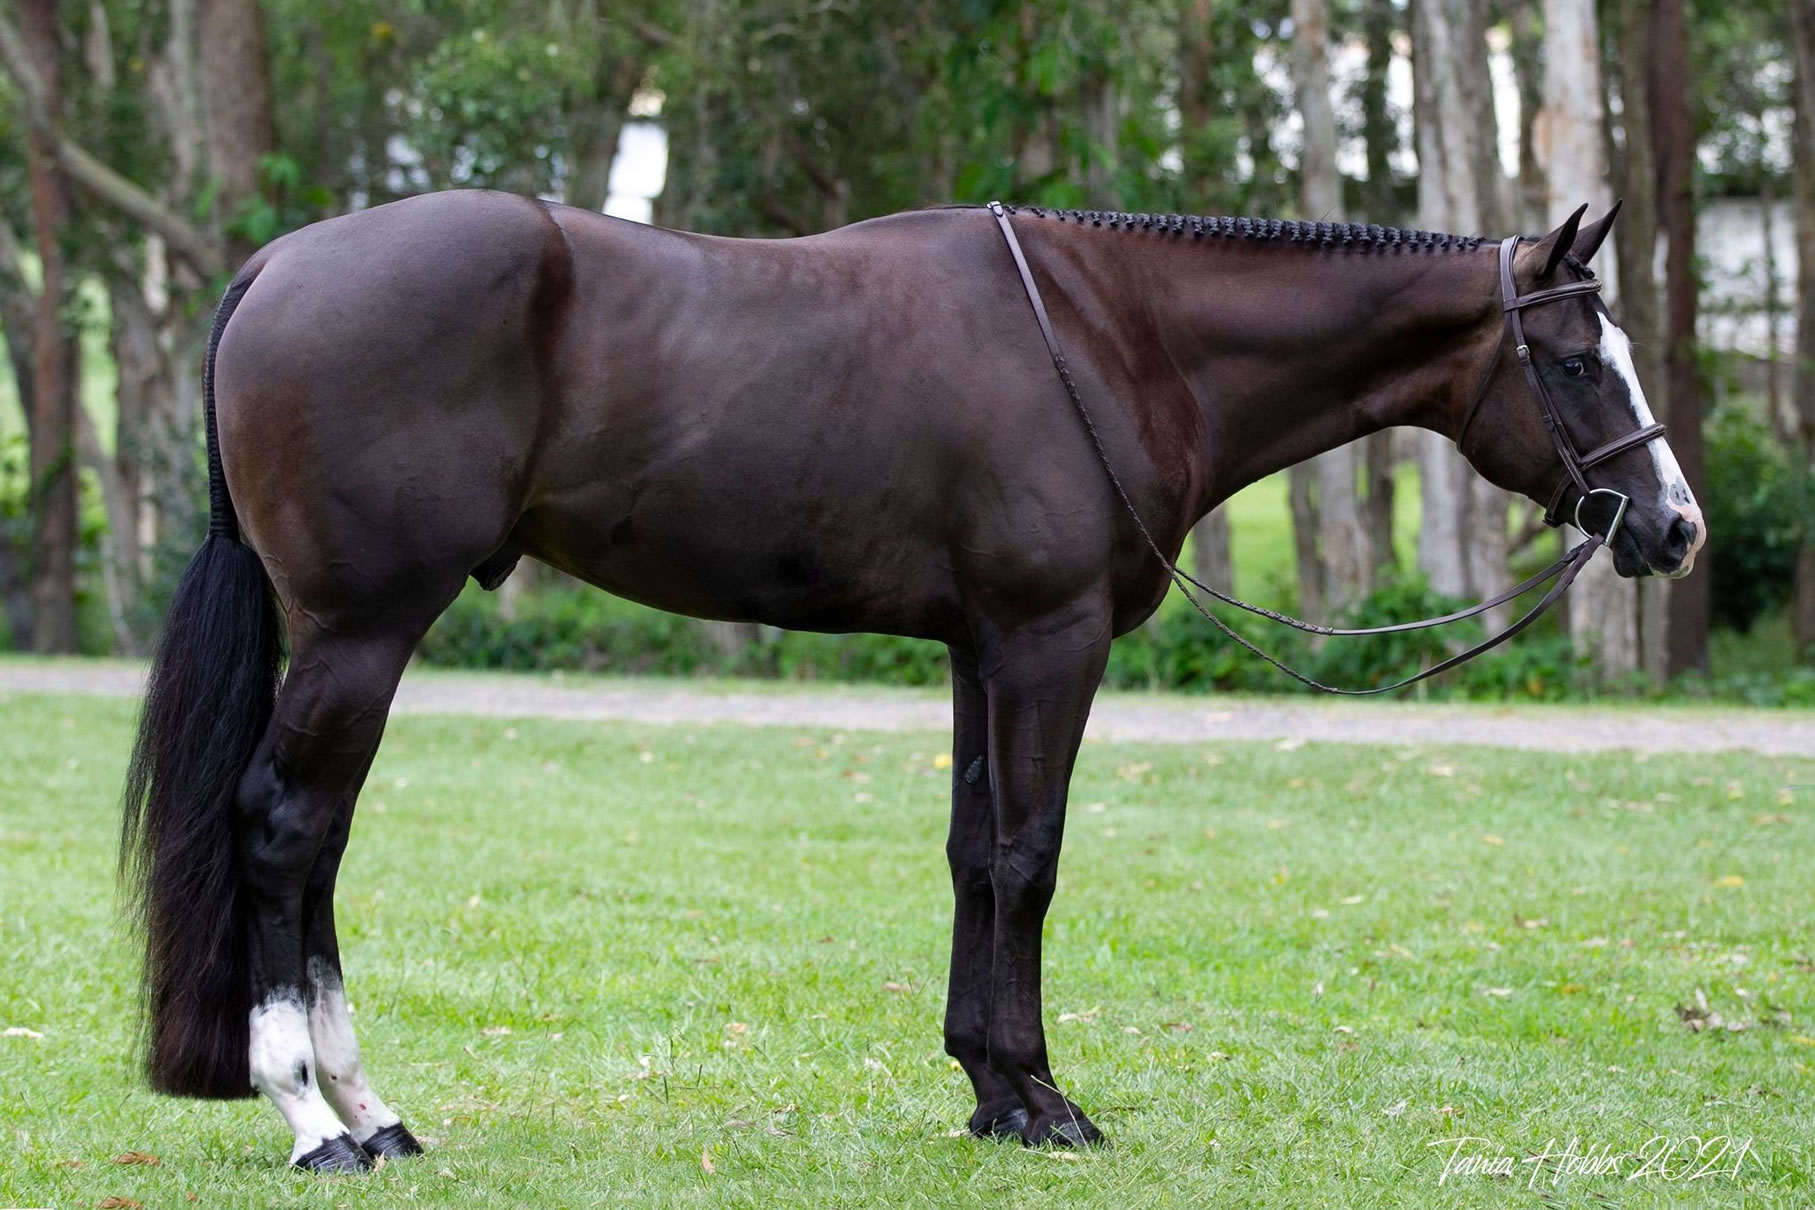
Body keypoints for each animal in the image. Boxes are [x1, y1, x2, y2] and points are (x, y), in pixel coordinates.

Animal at [121, 191, 1703, 1170]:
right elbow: (1027, 858)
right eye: (1576, 359)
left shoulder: (977, 647)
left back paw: (372, 1110)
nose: (1673, 526)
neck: (1112, 333)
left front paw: (989, 1089)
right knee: (284, 830)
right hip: (361, 629)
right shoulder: (1050, 641)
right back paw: (313, 1118)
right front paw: (1044, 1099)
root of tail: (282, 266)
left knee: (316, 843)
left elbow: (967, 852)